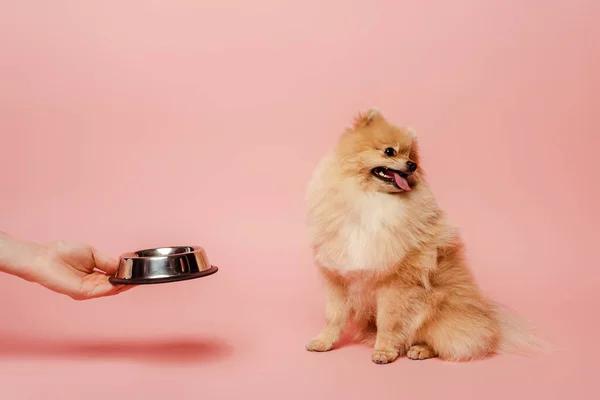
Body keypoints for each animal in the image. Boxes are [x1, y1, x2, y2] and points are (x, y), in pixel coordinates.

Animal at [308, 108, 540, 362]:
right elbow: (334, 316)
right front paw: (323, 342)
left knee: (444, 341)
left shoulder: (396, 282)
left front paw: (384, 351)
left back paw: (420, 349)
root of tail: (490, 320)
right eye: (389, 151)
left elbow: (388, 322)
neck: (370, 199)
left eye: (412, 157)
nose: (412, 165)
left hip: (437, 305)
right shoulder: (338, 276)